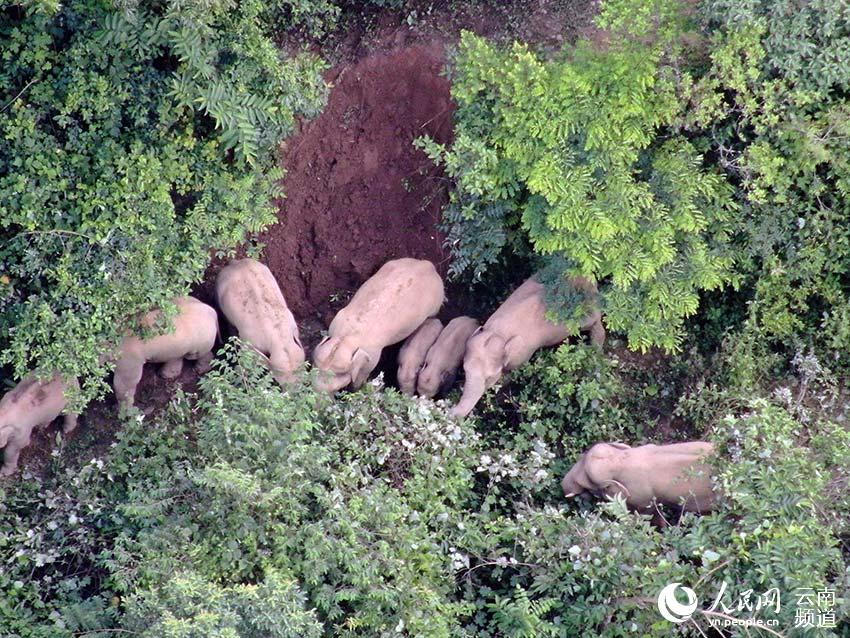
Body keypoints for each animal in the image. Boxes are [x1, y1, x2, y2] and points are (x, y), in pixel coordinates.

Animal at [312, 260, 444, 396]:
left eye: (340, 376)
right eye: (314, 365)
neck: (345, 337)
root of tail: (427, 264)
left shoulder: (372, 355)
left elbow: (361, 376)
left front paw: (356, 389)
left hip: (436, 301)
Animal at [450, 276, 604, 420]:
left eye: (489, 378)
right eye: (464, 370)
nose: (450, 410)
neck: (498, 333)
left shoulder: (523, 354)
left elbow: (510, 375)